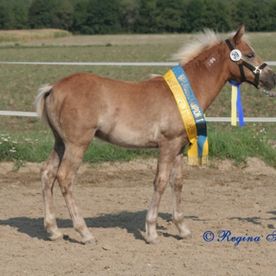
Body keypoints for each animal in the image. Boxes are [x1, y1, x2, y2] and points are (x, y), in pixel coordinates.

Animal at [35, 25, 274, 245]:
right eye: (249, 54)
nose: (271, 80)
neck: (184, 93)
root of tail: (53, 88)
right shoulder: (167, 145)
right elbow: (160, 182)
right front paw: (151, 232)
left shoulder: (178, 148)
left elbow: (177, 182)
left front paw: (182, 229)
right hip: (77, 144)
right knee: (65, 178)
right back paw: (84, 233)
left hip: (60, 143)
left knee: (47, 174)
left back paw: (53, 230)